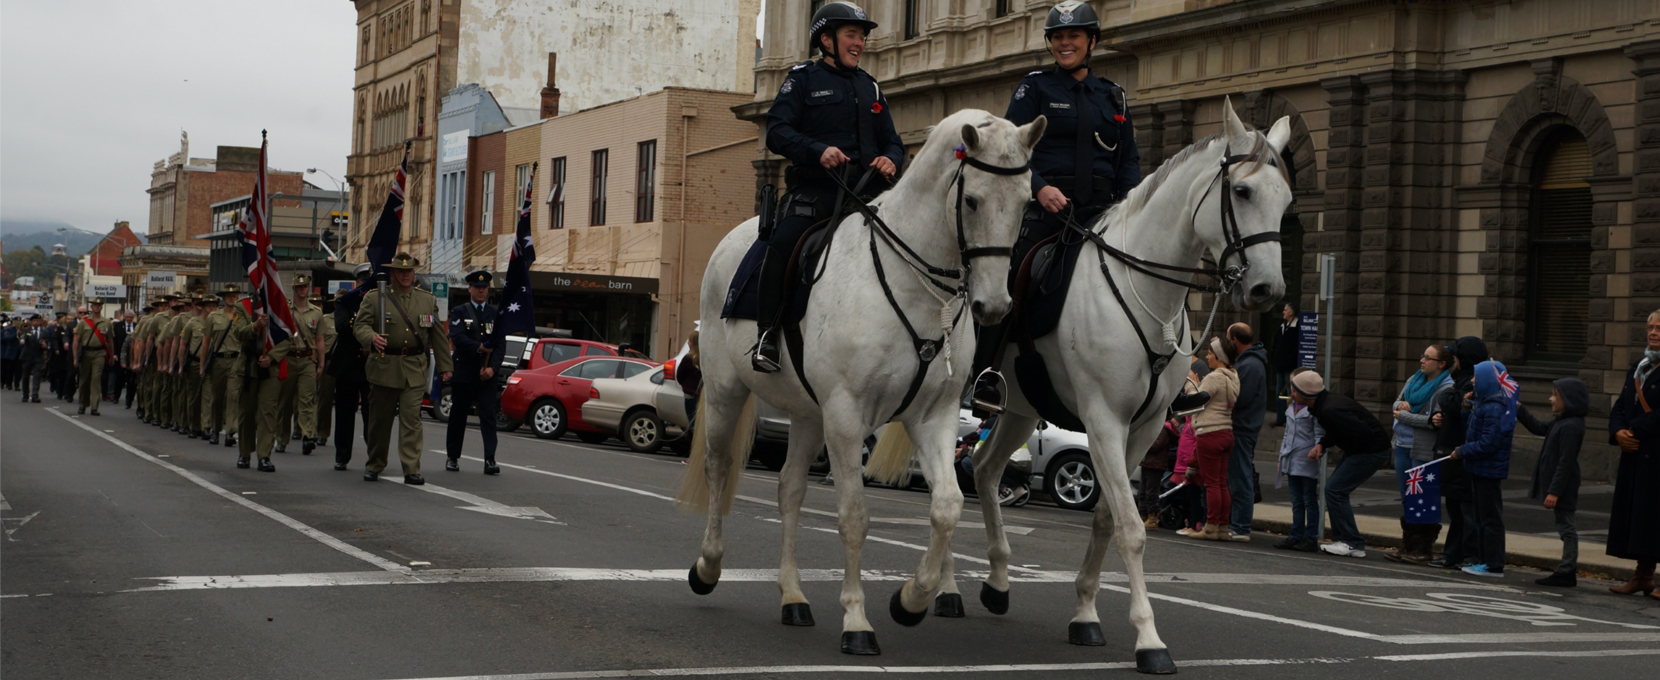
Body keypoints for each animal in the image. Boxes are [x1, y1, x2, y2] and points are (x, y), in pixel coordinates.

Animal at [676, 109, 1046, 655]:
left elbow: (947, 507)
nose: (994, 306)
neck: (914, 286)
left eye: (1024, 202)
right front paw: (857, 622)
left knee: (789, 489)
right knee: (718, 468)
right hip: (727, 392)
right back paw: (707, 567)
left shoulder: (933, 417)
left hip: (809, 414)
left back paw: (793, 598)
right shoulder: (848, 417)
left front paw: (911, 599)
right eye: (973, 200)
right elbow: (854, 517)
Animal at [867, 97, 1293, 674]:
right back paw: (949, 590)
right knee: (952, 482)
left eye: (1287, 200)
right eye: (1244, 192)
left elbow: (1108, 519)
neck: (1146, 294)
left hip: (1021, 408)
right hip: (955, 400)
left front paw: (1086, 614)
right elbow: (1133, 528)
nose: (1268, 289)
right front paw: (1149, 640)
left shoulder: (1145, 427)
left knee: (984, 468)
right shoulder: (1103, 418)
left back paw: (996, 582)